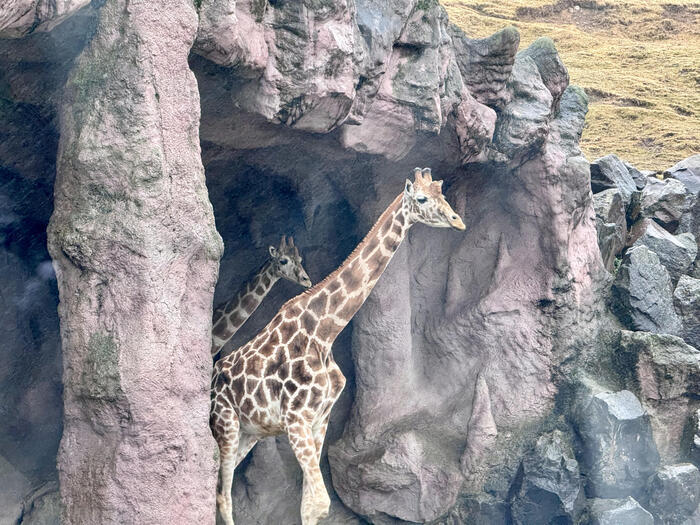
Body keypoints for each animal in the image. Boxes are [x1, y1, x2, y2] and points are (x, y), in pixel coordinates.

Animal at [211, 168, 468, 524]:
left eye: (441, 193)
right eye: (421, 198)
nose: (459, 221)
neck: (325, 330)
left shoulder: (319, 419)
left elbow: (311, 504)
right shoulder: (295, 418)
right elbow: (319, 501)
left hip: (249, 432)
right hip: (226, 424)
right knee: (222, 494)